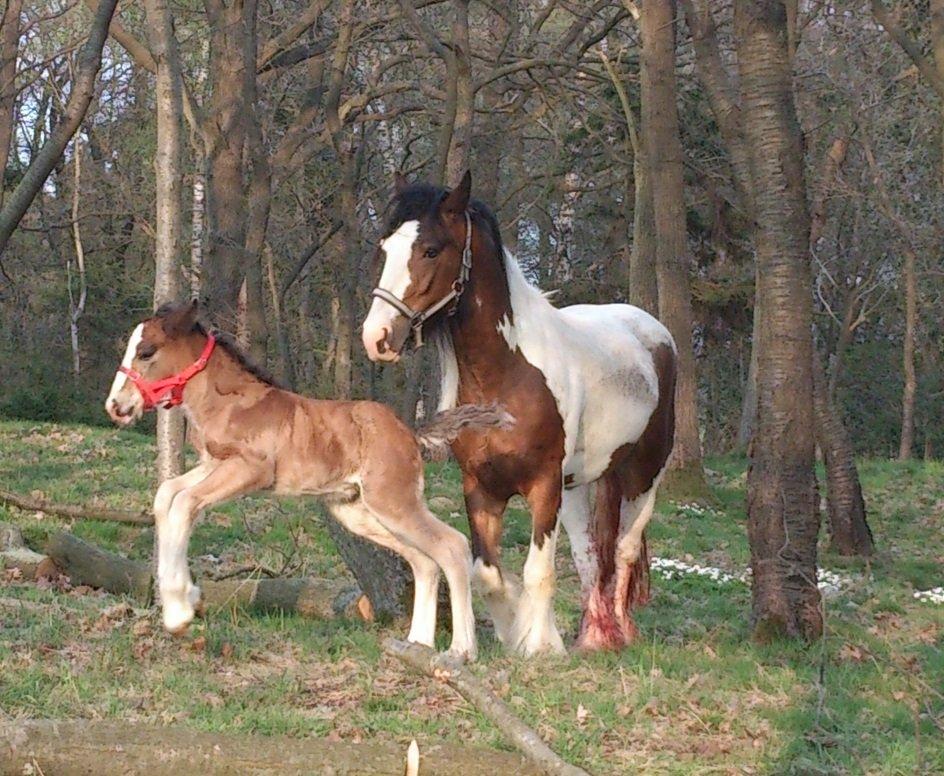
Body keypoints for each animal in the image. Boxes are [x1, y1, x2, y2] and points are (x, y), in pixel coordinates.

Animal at [103, 300, 508, 656]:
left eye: (147, 351)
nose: (116, 407)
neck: (231, 404)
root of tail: (410, 432)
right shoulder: (213, 464)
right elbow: (166, 494)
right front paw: (184, 599)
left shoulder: (250, 470)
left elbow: (184, 502)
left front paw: (180, 613)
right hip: (358, 511)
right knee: (423, 560)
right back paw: (418, 643)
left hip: (394, 501)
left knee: (452, 546)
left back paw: (462, 649)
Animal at [362, 173, 680, 652]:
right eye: (386, 248)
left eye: (431, 249)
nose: (376, 337)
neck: (507, 376)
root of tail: (652, 330)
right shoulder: (480, 488)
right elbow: (488, 574)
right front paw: (516, 628)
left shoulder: (543, 486)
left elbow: (538, 572)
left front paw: (538, 646)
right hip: (578, 486)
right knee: (589, 555)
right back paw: (593, 636)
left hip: (644, 475)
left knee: (625, 547)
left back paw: (620, 633)